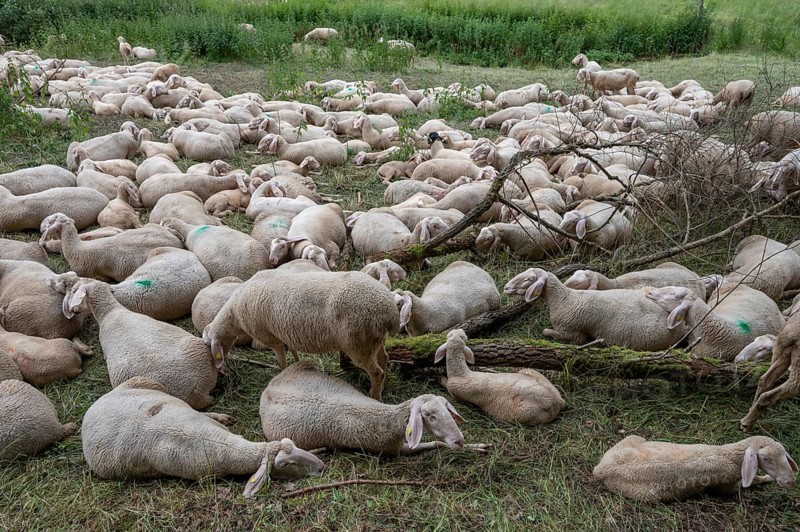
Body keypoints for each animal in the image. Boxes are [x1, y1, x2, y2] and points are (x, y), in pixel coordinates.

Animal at [203, 269, 400, 399]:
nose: (221, 371)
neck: (234, 315)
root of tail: (390, 312)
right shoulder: (284, 332)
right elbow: (292, 351)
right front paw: (297, 366)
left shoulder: (269, 336)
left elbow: (281, 359)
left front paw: (282, 373)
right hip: (374, 340)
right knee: (384, 359)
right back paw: (382, 388)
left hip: (358, 343)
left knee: (377, 372)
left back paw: (374, 396)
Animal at [260, 360, 486, 454]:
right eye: (430, 416)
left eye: (447, 409)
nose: (458, 440)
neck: (388, 420)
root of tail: (269, 387)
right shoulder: (397, 450)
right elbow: (437, 444)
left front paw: (475, 445)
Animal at [435, 329, 564, 424]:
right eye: (450, 335)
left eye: (462, 337)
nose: (460, 330)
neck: (461, 373)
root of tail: (558, 401)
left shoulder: (455, 392)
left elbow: (445, 383)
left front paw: (438, 377)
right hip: (531, 372)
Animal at [593, 435, 797, 501]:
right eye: (766, 459)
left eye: (784, 454)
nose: (790, 482)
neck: (726, 454)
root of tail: (601, 469)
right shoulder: (728, 487)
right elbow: (754, 480)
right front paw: (767, 479)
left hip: (632, 439)